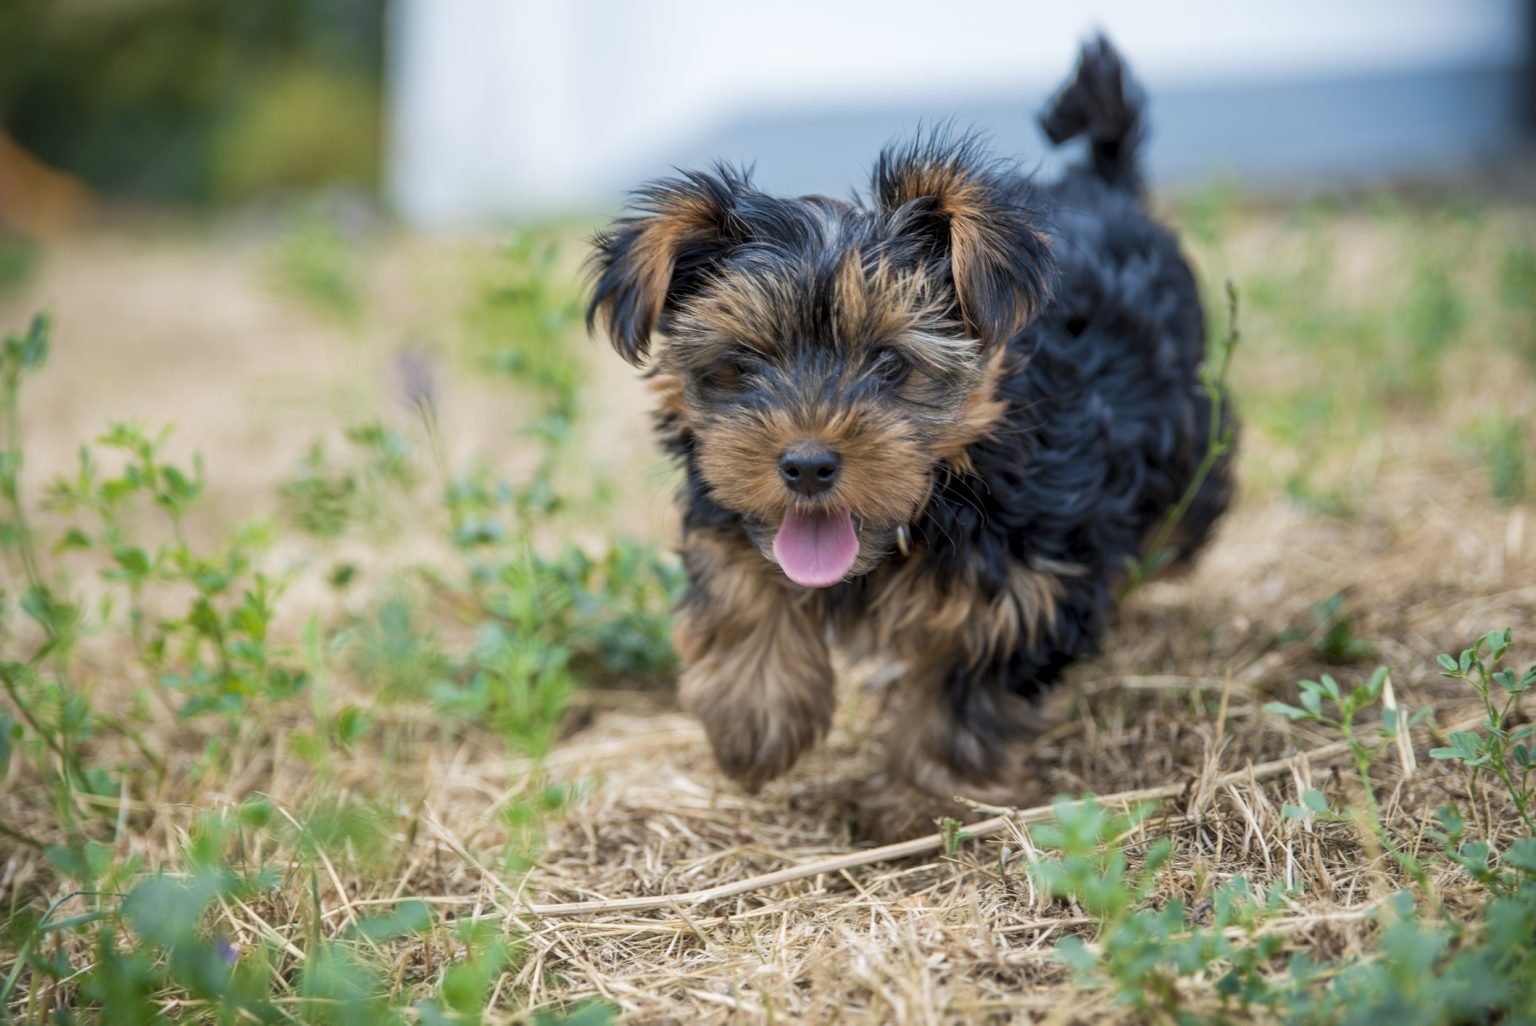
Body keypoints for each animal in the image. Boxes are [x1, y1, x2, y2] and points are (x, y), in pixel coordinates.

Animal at [586, 38, 1234, 835]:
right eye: (742, 363)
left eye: (891, 363)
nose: (806, 465)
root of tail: (1101, 184)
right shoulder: (725, 497)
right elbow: (736, 580)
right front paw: (756, 720)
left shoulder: (1027, 582)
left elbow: (967, 690)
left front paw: (927, 802)